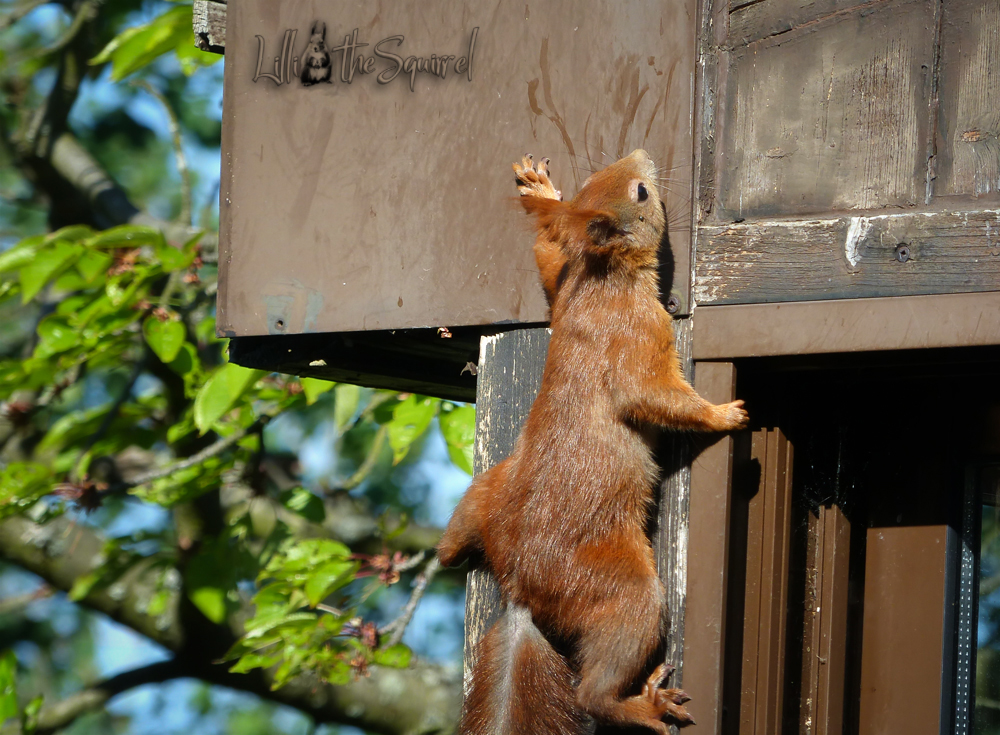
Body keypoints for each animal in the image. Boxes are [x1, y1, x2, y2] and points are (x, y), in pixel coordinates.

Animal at [437, 149, 749, 735]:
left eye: (593, 181)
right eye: (642, 192)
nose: (644, 154)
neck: (604, 279)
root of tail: (522, 589)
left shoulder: (565, 284)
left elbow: (548, 260)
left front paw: (541, 190)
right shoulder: (638, 335)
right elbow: (653, 395)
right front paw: (723, 414)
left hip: (486, 491)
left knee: (451, 546)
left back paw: (447, 547)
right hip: (621, 590)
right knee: (593, 691)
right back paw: (641, 705)